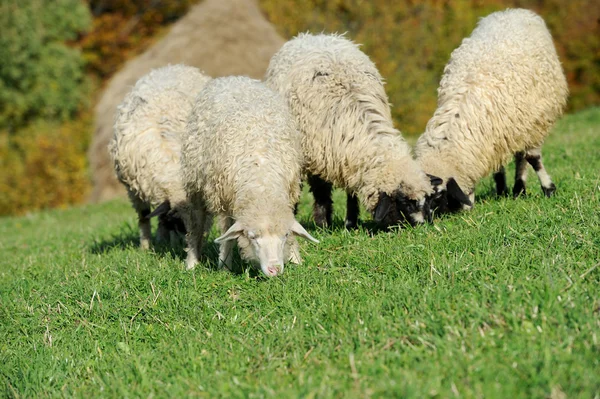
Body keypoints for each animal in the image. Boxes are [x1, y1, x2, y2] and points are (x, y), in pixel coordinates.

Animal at [109, 63, 212, 248]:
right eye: (179, 223)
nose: (192, 247)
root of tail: (175, 66)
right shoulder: (133, 188)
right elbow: (144, 217)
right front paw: (145, 247)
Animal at [180, 76, 318, 278]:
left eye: (284, 236)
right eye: (253, 237)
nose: (274, 269)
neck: (262, 182)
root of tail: (233, 78)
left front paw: (295, 259)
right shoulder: (225, 199)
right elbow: (227, 235)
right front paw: (224, 266)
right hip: (195, 182)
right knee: (196, 224)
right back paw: (192, 262)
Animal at [264, 32, 434, 230]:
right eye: (405, 203)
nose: (420, 228)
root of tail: (311, 36)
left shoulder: (347, 158)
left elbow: (350, 192)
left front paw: (350, 222)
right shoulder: (313, 153)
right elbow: (315, 189)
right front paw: (320, 223)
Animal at [414, 7, 568, 214]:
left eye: (438, 197)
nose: (457, 214)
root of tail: (510, 11)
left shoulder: (533, 123)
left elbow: (533, 158)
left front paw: (549, 189)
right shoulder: (492, 136)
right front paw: (500, 190)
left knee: (522, 157)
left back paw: (520, 188)